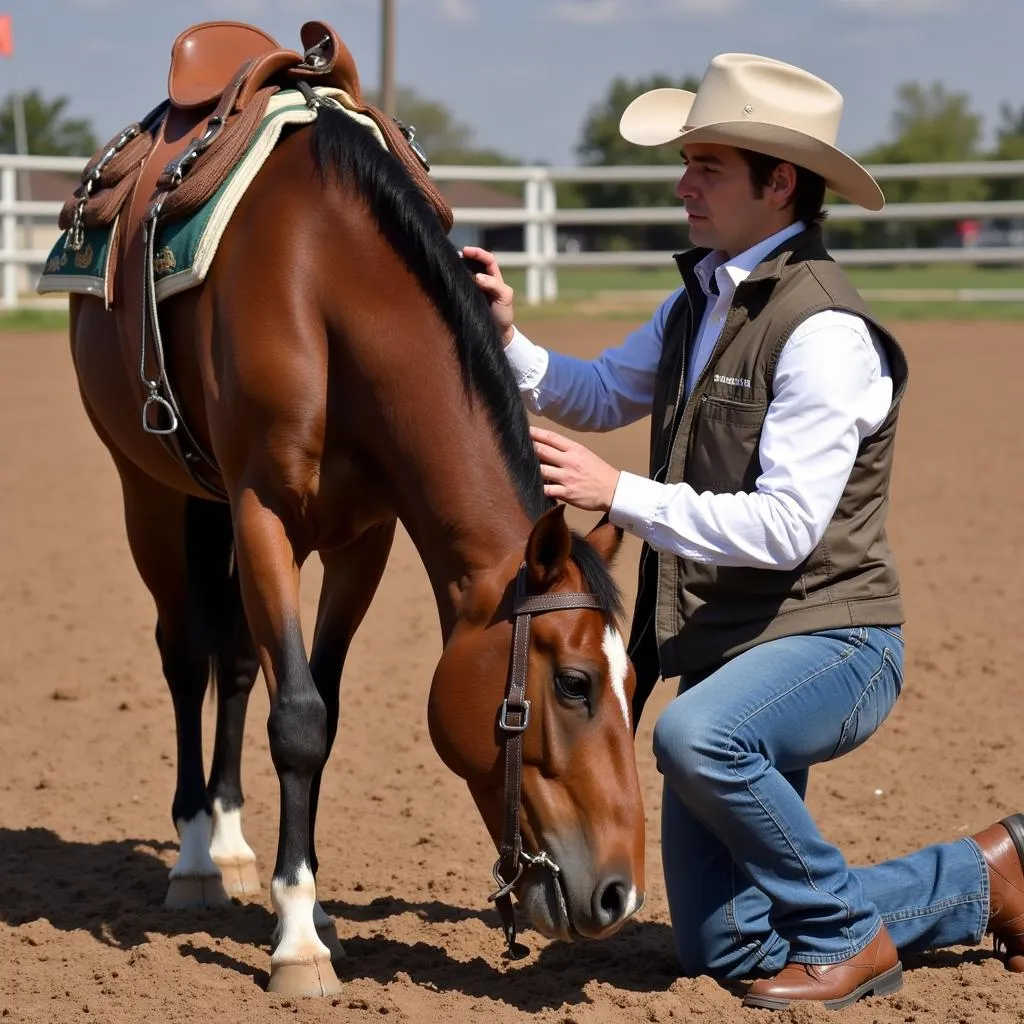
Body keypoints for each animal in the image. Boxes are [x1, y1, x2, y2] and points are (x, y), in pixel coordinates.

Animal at [64, 83, 643, 995]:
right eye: (576, 684)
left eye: (632, 682)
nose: (621, 894)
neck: (325, 284)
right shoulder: (262, 513)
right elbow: (298, 717)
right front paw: (299, 942)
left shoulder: (361, 538)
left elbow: (319, 709)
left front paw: (311, 909)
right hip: (151, 491)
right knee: (186, 654)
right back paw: (195, 856)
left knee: (236, 660)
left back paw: (232, 843)